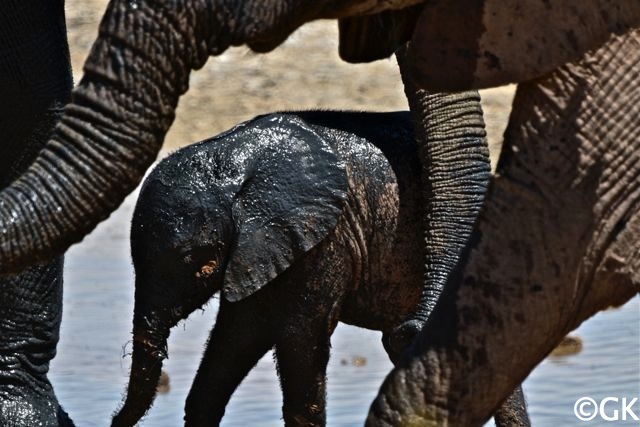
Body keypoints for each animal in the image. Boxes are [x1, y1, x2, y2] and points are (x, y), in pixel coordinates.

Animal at [111, 112, 528, 426]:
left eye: (196, 262)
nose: (113, 421)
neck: (235, 158)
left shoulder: (324, 239)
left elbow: (299, 338)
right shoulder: (258, 251)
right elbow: (237, 335)